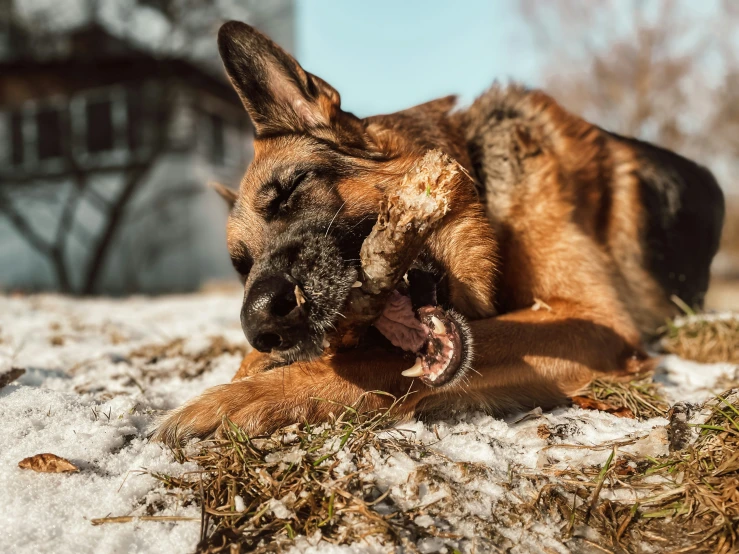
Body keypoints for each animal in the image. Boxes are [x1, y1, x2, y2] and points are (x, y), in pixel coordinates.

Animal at [153, 22, 724, 444]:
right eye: (240, 266)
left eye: (293, 190)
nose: (261, 325)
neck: (483, 186)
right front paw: (251, 366)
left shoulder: (592, 318)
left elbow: (370, 358)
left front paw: (239, 397)